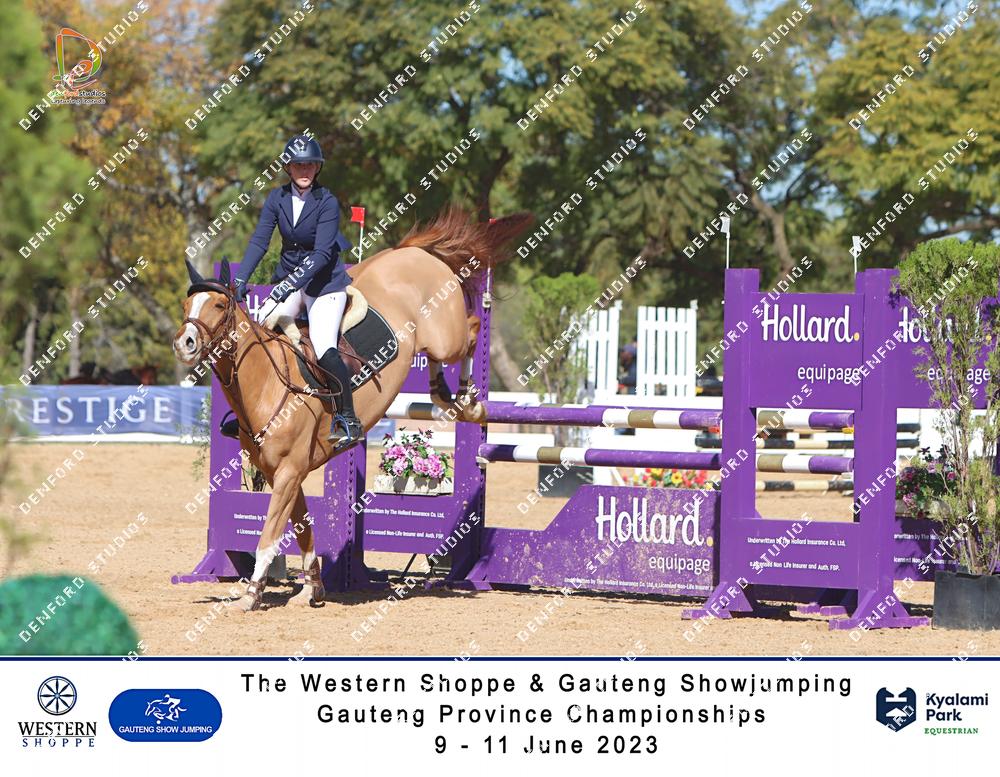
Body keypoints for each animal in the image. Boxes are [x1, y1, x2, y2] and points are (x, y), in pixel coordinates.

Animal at [173, 209, 530, 612]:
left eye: (219, 306)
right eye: (186, 307)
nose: (185, 344)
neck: (266, 382)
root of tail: (412, 251)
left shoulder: (288, 472)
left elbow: (269, 536)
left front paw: (251, 595)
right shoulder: (285, 474)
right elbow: (304, 531)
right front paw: (312, 589)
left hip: (446, 335)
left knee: (471, 330)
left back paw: (469, 398)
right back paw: (443, 392)